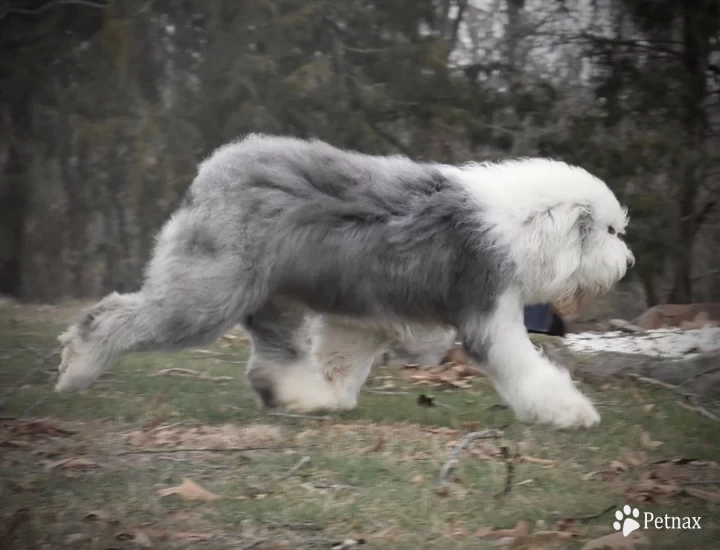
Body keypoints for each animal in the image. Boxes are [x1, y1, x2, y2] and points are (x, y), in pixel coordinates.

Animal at [53, 134, 632, 432]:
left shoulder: (365, 320)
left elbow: (342, 360)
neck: (519, 224)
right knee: (112, 316)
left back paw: (299, 397)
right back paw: (78, 366)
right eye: (607, 231)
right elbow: (523, 366)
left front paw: (330, 394)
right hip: (213, 289)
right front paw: (571, 411)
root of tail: (214, 170)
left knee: (275, 358)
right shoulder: (488, 308)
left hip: (275, 297)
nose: (626, 262)